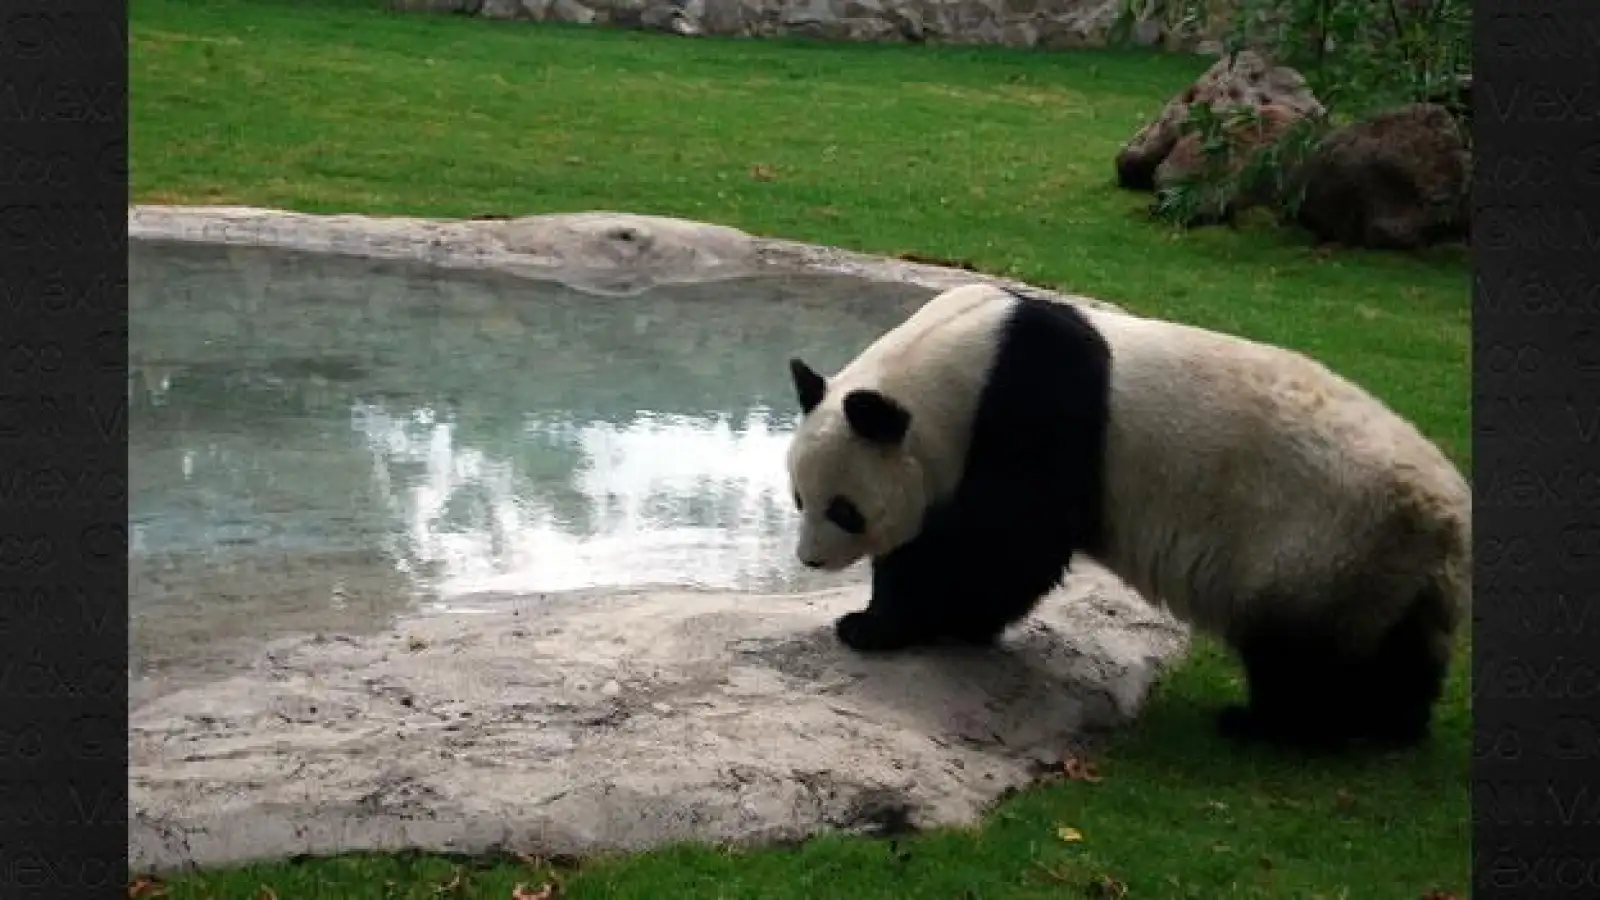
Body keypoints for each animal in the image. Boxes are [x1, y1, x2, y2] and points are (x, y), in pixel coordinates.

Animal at [784, 282, 1471, 752]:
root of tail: (1447, 519)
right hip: (1382, 569)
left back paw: (1273, 724)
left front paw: (874, 624)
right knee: (1396, 650)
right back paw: (1390, 722)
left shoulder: (1035, 409)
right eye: (797, 498)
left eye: (845, 510)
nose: (809, 560)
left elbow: (1005, 543)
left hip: (1322, 543)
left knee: (1303, 656)